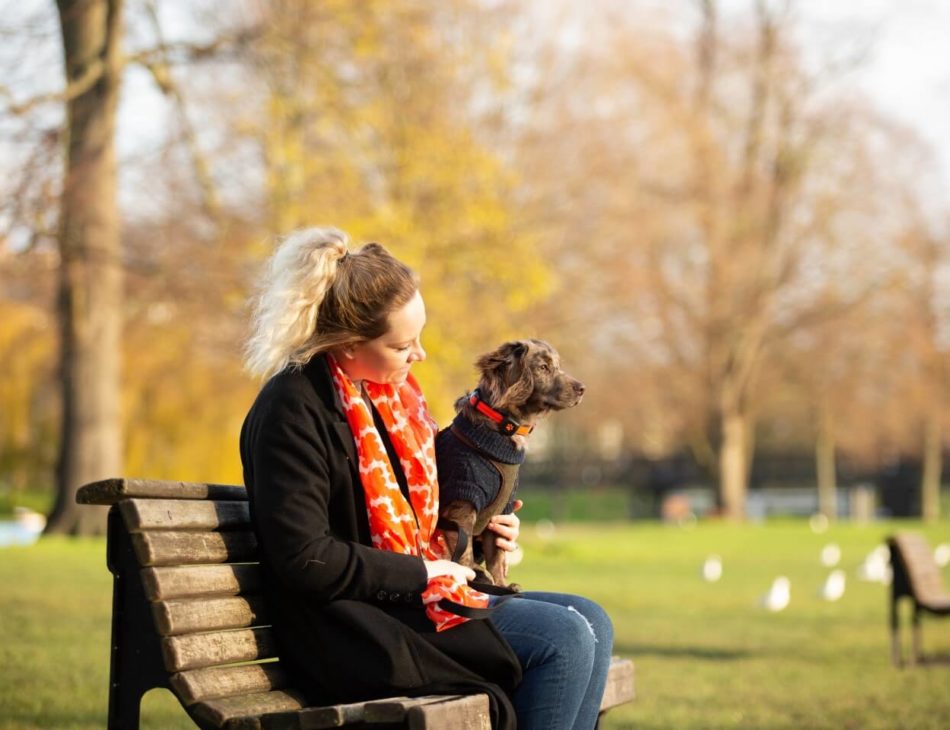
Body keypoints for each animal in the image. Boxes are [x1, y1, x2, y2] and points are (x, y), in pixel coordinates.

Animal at [438, 338, 588, 588]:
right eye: (543, 368)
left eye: (557, 365)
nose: (582, 389)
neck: (503, 429)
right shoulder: (463, 502)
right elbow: (465, 552)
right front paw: (473, 579)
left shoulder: (501, 514)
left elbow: (497, 558)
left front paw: (502, 586)